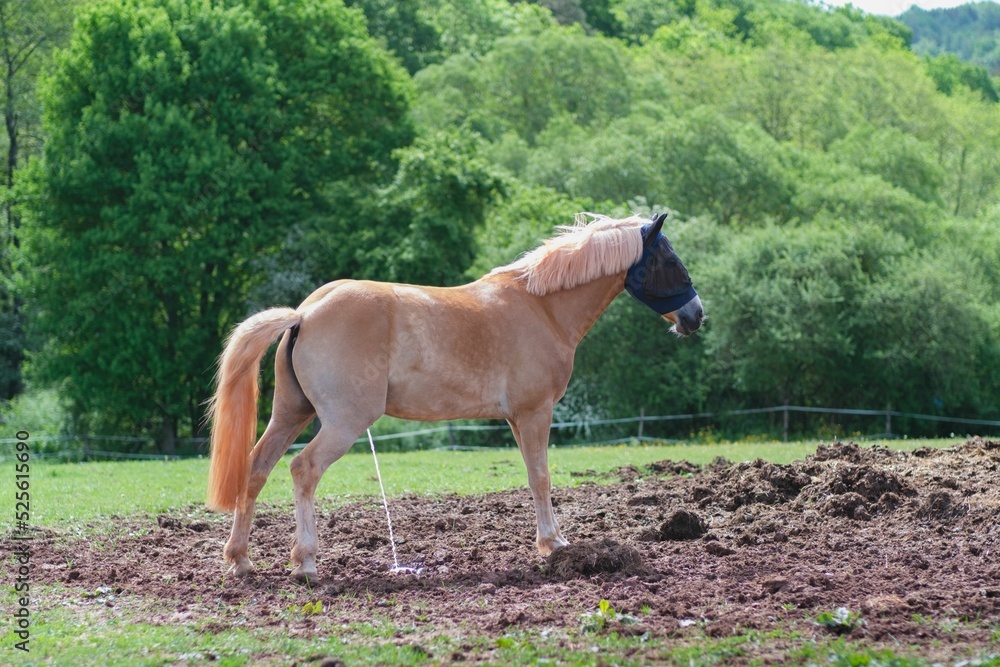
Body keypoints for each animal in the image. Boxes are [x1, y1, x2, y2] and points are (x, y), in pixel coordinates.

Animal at [205, 211, 704, 580]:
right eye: (671, 261)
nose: (696, 316)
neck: (541, 307)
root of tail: (304, 313)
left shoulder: (516, 420)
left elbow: (532, 477)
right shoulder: (535, 414)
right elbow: (541, 478)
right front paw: (554, 545)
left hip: (292, 414)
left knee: (257, 468)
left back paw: (241, 559)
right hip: (343, 423)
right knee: (303, 470)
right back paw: (305, 562)